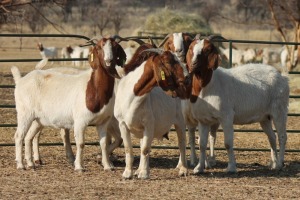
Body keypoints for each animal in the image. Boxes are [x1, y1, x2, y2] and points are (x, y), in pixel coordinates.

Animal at [11, 36, 126, 171]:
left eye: (115, 47)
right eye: (98, 47)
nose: (109, 60)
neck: (93, 87)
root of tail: (20, 80)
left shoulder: (104, 121)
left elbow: (103, 143)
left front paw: (107, 165)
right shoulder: (80, 121)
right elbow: (81, 143)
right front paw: (79, 166)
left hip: (38, 119)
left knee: (29, 136)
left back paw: (30, 163)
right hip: (25, 114)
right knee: (19, 136)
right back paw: (20, 165)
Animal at [113, 46, 189, 179]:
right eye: (168, 61)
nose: (187, 77)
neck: (132, 96)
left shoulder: (149, 124)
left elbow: (144, 149)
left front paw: (143, 174)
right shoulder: (122, 124)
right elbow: (129, 148)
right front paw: (128, 173)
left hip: (180, 120)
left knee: (181, 143)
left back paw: (183, 169)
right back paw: (139, 169)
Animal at [185, 34, 288, 173]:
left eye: (207, 50)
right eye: (191, 48)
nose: (193, 65)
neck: (208, 86)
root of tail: (282, 77)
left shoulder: (226, 116)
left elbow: (228, 143)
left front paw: (231, 167)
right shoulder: (203, 120)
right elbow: (201, 144)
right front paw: (199, 168)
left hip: (279, 110)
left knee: (282, 136)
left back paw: (280, 163)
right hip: (265, 117)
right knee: (272, 137)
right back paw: (273, 163)